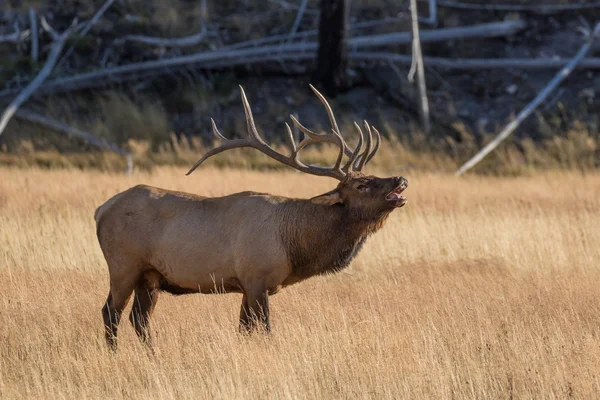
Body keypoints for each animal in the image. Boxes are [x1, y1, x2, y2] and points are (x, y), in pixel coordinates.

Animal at [96, 85, 408, 350]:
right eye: (362, 185)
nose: (400, 179)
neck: (294, 246)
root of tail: (100, 210)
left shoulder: (247, 285)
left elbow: (244, 330)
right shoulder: (257, 278)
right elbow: (265, 329)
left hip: (150, 276)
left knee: (139, 319)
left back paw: (153, 354)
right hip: (124, 265)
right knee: (111, 312)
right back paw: (114, 354)